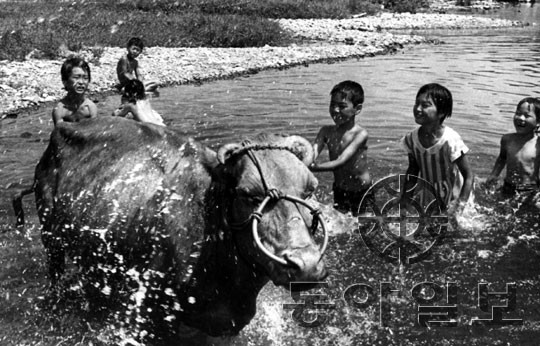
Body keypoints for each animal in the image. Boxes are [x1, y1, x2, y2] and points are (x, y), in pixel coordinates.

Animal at [22, 116, 330, 336]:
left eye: (310, 189)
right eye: (248, 194)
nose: (306, 265)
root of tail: (63, 128)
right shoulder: (153, 314)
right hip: (50, 239)